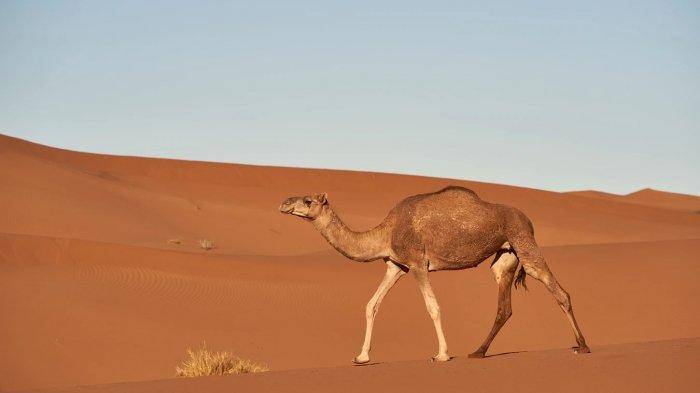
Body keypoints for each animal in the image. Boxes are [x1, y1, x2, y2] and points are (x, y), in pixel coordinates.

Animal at [278, 185, 592, 362]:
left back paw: (583, 346)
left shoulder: (418, 263)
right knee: (504, 306)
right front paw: (361, 357)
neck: (385, 233)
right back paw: (478, 352)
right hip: (505, 255)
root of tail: (528, 219)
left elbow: (433, 307)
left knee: (559, 291)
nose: (284, 203)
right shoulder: (396, 266)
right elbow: (372, 305)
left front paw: (441, 354)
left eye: (308, 201)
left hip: (524, 242)